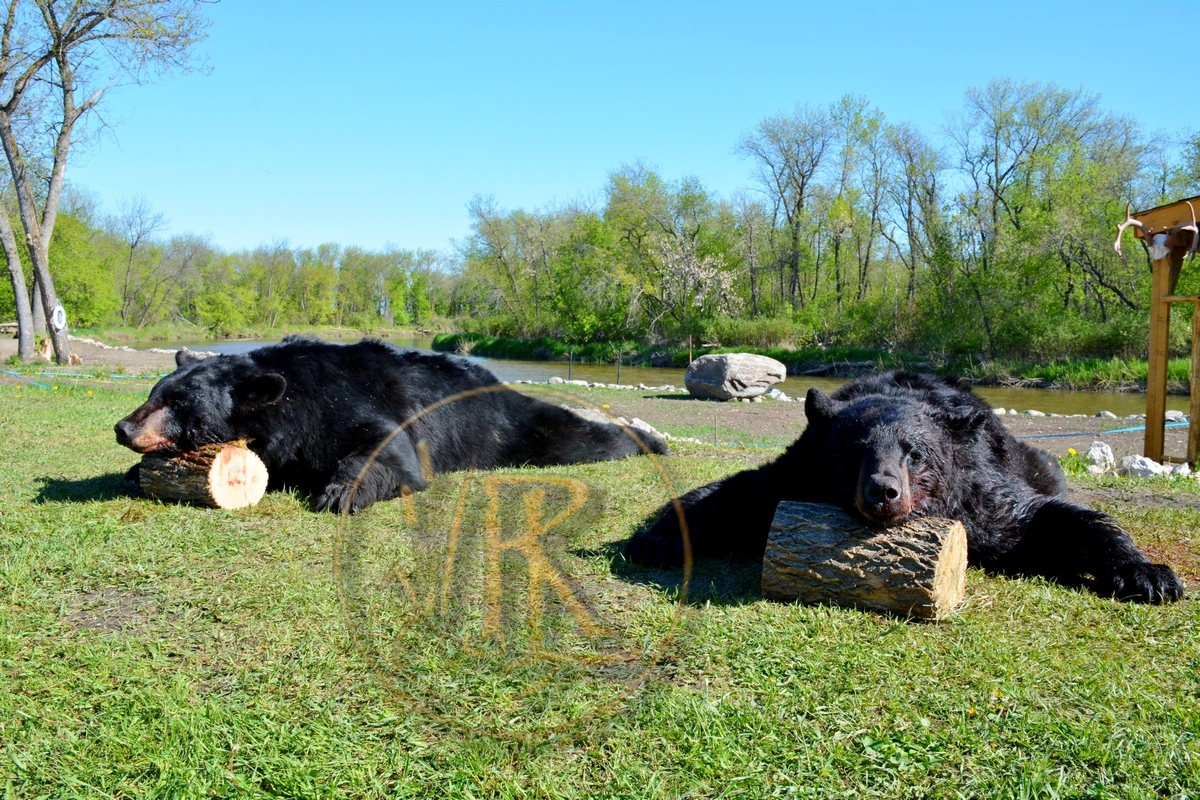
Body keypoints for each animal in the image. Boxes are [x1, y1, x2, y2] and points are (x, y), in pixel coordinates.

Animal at [115, 337, 669, 513]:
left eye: (178, 402)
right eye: (154, 394)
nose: (123, 427)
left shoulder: (340, 401)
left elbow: (388, 447)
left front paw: (339, 491)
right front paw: (133, 474)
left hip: (506, 427)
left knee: (574, 435)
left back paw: (651, 440)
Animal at [625, 370, 1184, 604]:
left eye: (915, 454)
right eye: (853, 450)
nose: (883, 492)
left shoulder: (980, 497)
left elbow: (1047, 517)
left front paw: (1146, 573)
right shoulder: (794, 471)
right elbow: (732, 494)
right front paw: (655, 538)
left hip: (1030, 458)